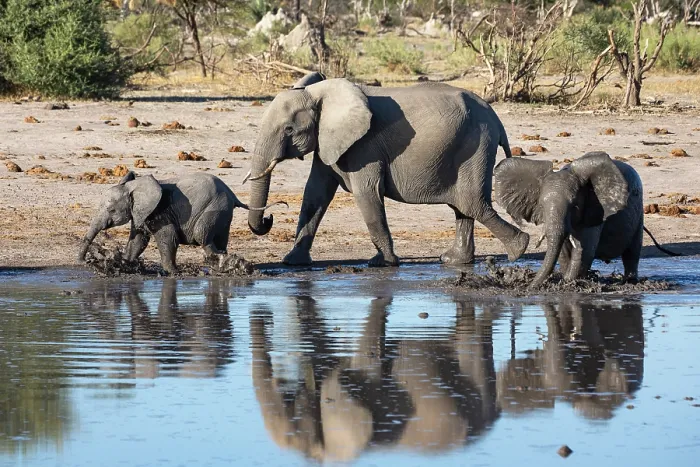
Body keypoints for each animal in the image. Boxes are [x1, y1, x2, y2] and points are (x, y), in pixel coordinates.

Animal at [77, 171, 285, 273]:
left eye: (111, 210)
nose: (82, 261)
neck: (133, 187)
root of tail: (233, 195)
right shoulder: (141, 213)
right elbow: (138, 240)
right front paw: (125, 265)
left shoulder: (159, 211)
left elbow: (167, 238)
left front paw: (172, 272)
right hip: (223, 212)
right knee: (220, 239)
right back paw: (223, 263)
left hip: (214, 208)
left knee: (202, 235)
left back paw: (217, 263)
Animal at [244, 72, 530, 267]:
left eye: (289, 129)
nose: (269, 219)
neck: (319, 93)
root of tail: (496, 118)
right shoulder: (328, 141)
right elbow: (315, 194)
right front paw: (292, 262)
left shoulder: (364, 146)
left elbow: (367, 194)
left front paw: (383, 263)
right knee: (463, 206)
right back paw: (454, 261)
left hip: (476, 145)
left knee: (471, 203)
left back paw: (518, 250)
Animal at [494, 151, 676, 289]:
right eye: (541, 207)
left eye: (574, 206)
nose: (528, 288)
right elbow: (564, 252)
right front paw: (568, 280)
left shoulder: (595, 211)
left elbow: (584, 251)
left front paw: (569, 283)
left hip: (638, 213)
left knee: (632, 252)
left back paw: (630, 282)